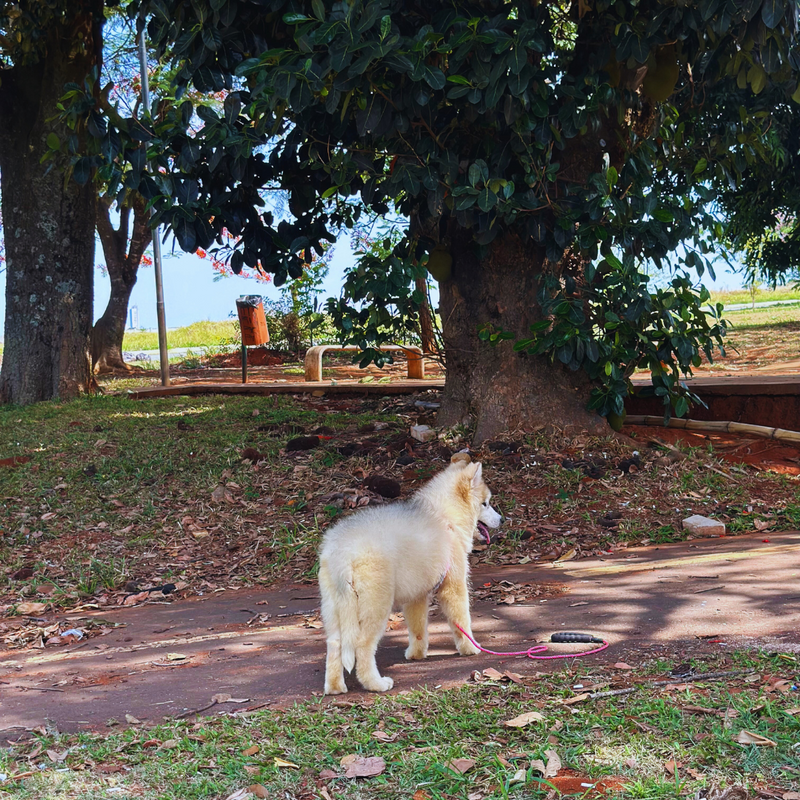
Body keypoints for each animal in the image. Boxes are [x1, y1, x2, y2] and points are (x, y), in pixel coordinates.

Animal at [318, 456, 500, 692]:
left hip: (334, 608)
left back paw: (335, 688)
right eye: (485, 503)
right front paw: (470, 648)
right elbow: (462, 621)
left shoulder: (417, 596)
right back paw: (376, 684)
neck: (446, 517)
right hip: (375, 607)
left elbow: (417, 629)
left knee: (334, 645)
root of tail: (343, 551)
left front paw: (416, 655)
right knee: (362, 646)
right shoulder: (454, 587)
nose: (502, 519)